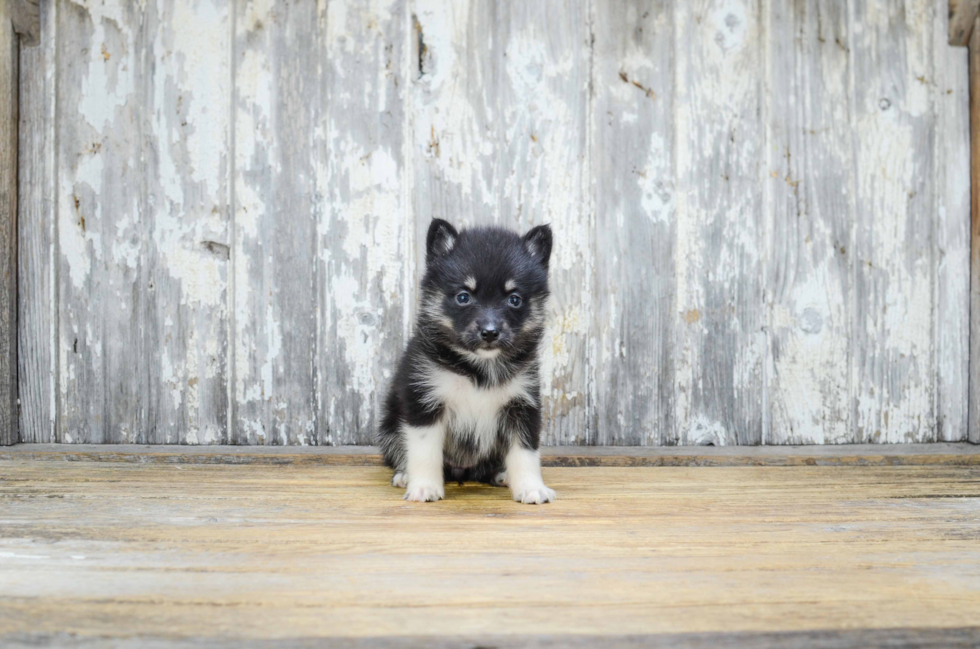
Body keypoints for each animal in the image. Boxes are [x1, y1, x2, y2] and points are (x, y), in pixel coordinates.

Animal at [378, 220, 556, 504]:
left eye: (514, 299)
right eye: (463, 297)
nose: (490, 332)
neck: (477, 369)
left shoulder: (522, 405)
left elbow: (525, 451)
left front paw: (531, 487)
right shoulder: (425, 403)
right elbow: (425, 450)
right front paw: (424, 486)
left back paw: (503, 475)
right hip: (389, 425)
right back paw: (405, 475)